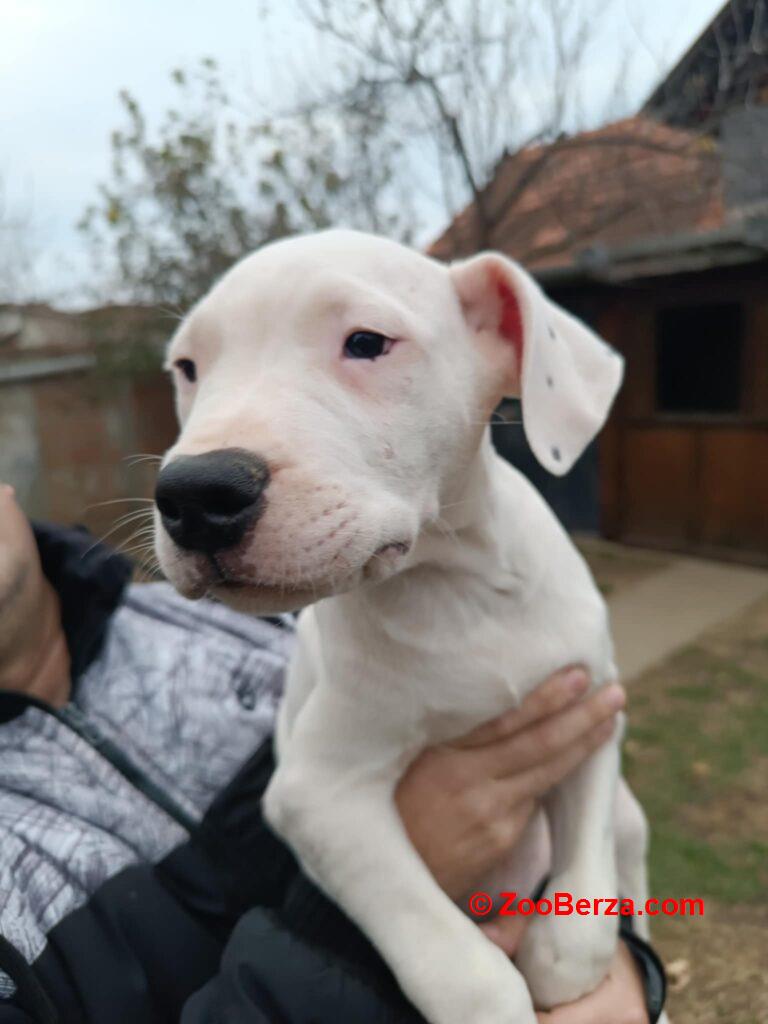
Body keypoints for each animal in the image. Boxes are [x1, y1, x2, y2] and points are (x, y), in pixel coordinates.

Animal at [154, 232, 655, 1024]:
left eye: (366, 342)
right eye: (188, 368)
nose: (196, 495)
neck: (453, 590)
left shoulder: (592, 714)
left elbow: (589, 866)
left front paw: (563, 959)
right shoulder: (321, 793)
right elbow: (461, 967)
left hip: (633, 820)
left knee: (630, 856)